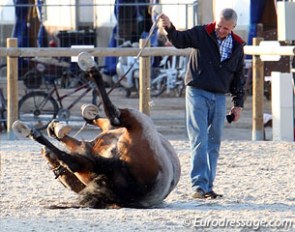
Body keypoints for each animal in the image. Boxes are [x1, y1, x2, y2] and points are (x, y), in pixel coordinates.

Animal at [12, 58, 182, 208]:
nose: (46, 154)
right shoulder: (91, 146)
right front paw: (57, 128)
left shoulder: (90, 146)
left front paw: (57, 127)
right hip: (136, 125)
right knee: (113, 118)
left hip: (130, 130)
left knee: (111, 119)